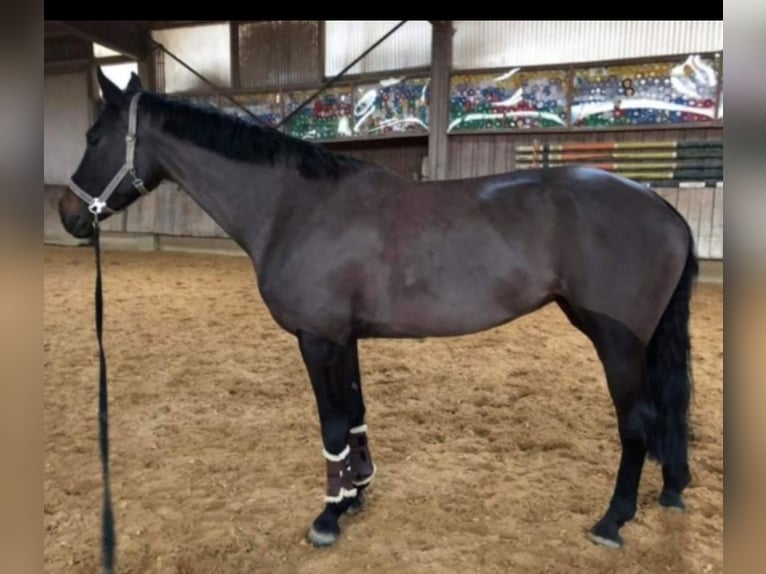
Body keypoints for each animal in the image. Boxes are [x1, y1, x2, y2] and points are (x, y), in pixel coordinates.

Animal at [58, 70, 696, 552]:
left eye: (93, 137)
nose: (68, 214)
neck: (293, 205)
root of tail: (660, 205)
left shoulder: (316, 338)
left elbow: (332, 423)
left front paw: (327, 516)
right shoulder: (345, 339)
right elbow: (356, 415)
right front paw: (356, 493)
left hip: (616, 340)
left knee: (638, 421)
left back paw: (612, 520)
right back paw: (670, 490)